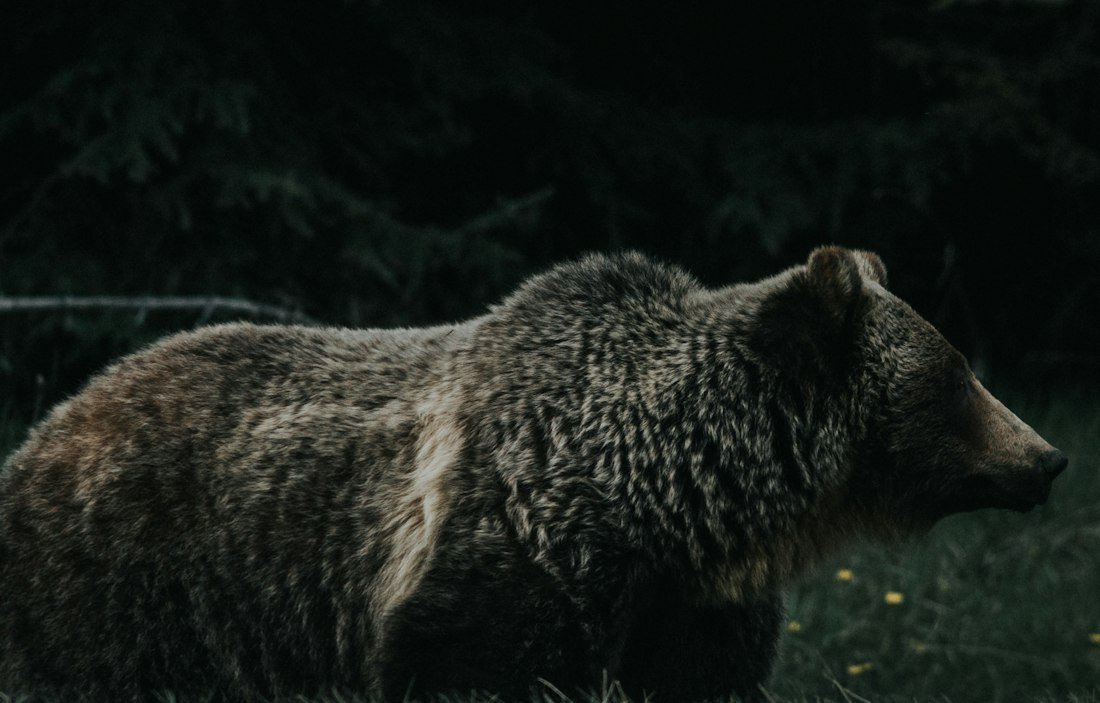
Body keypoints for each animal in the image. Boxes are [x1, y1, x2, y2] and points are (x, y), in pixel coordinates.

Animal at [0, 247, 1066, 702]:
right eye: (957, 373)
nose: (1048, 457)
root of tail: (53, 420)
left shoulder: (690, 607)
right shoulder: (506, 556)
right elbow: (475, 661)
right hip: (134, 584)